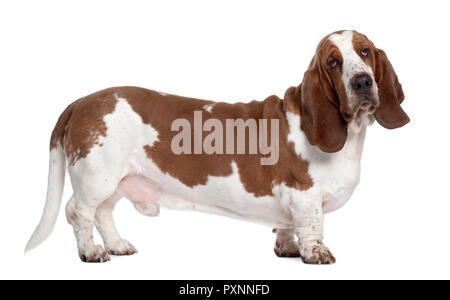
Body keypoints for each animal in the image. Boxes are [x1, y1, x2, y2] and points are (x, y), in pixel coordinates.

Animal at [26, 30, 410, 264]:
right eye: (333, 62)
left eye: (365, 51)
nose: (362, 82)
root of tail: (80, 102)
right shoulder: (304, 195)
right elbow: (313, 227)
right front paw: (316, 254)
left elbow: (288, 227)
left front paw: (287, 248)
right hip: (97, 177)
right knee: (78, 212)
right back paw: (91, 252)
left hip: (115, 181)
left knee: (103, 213)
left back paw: (118, 246)